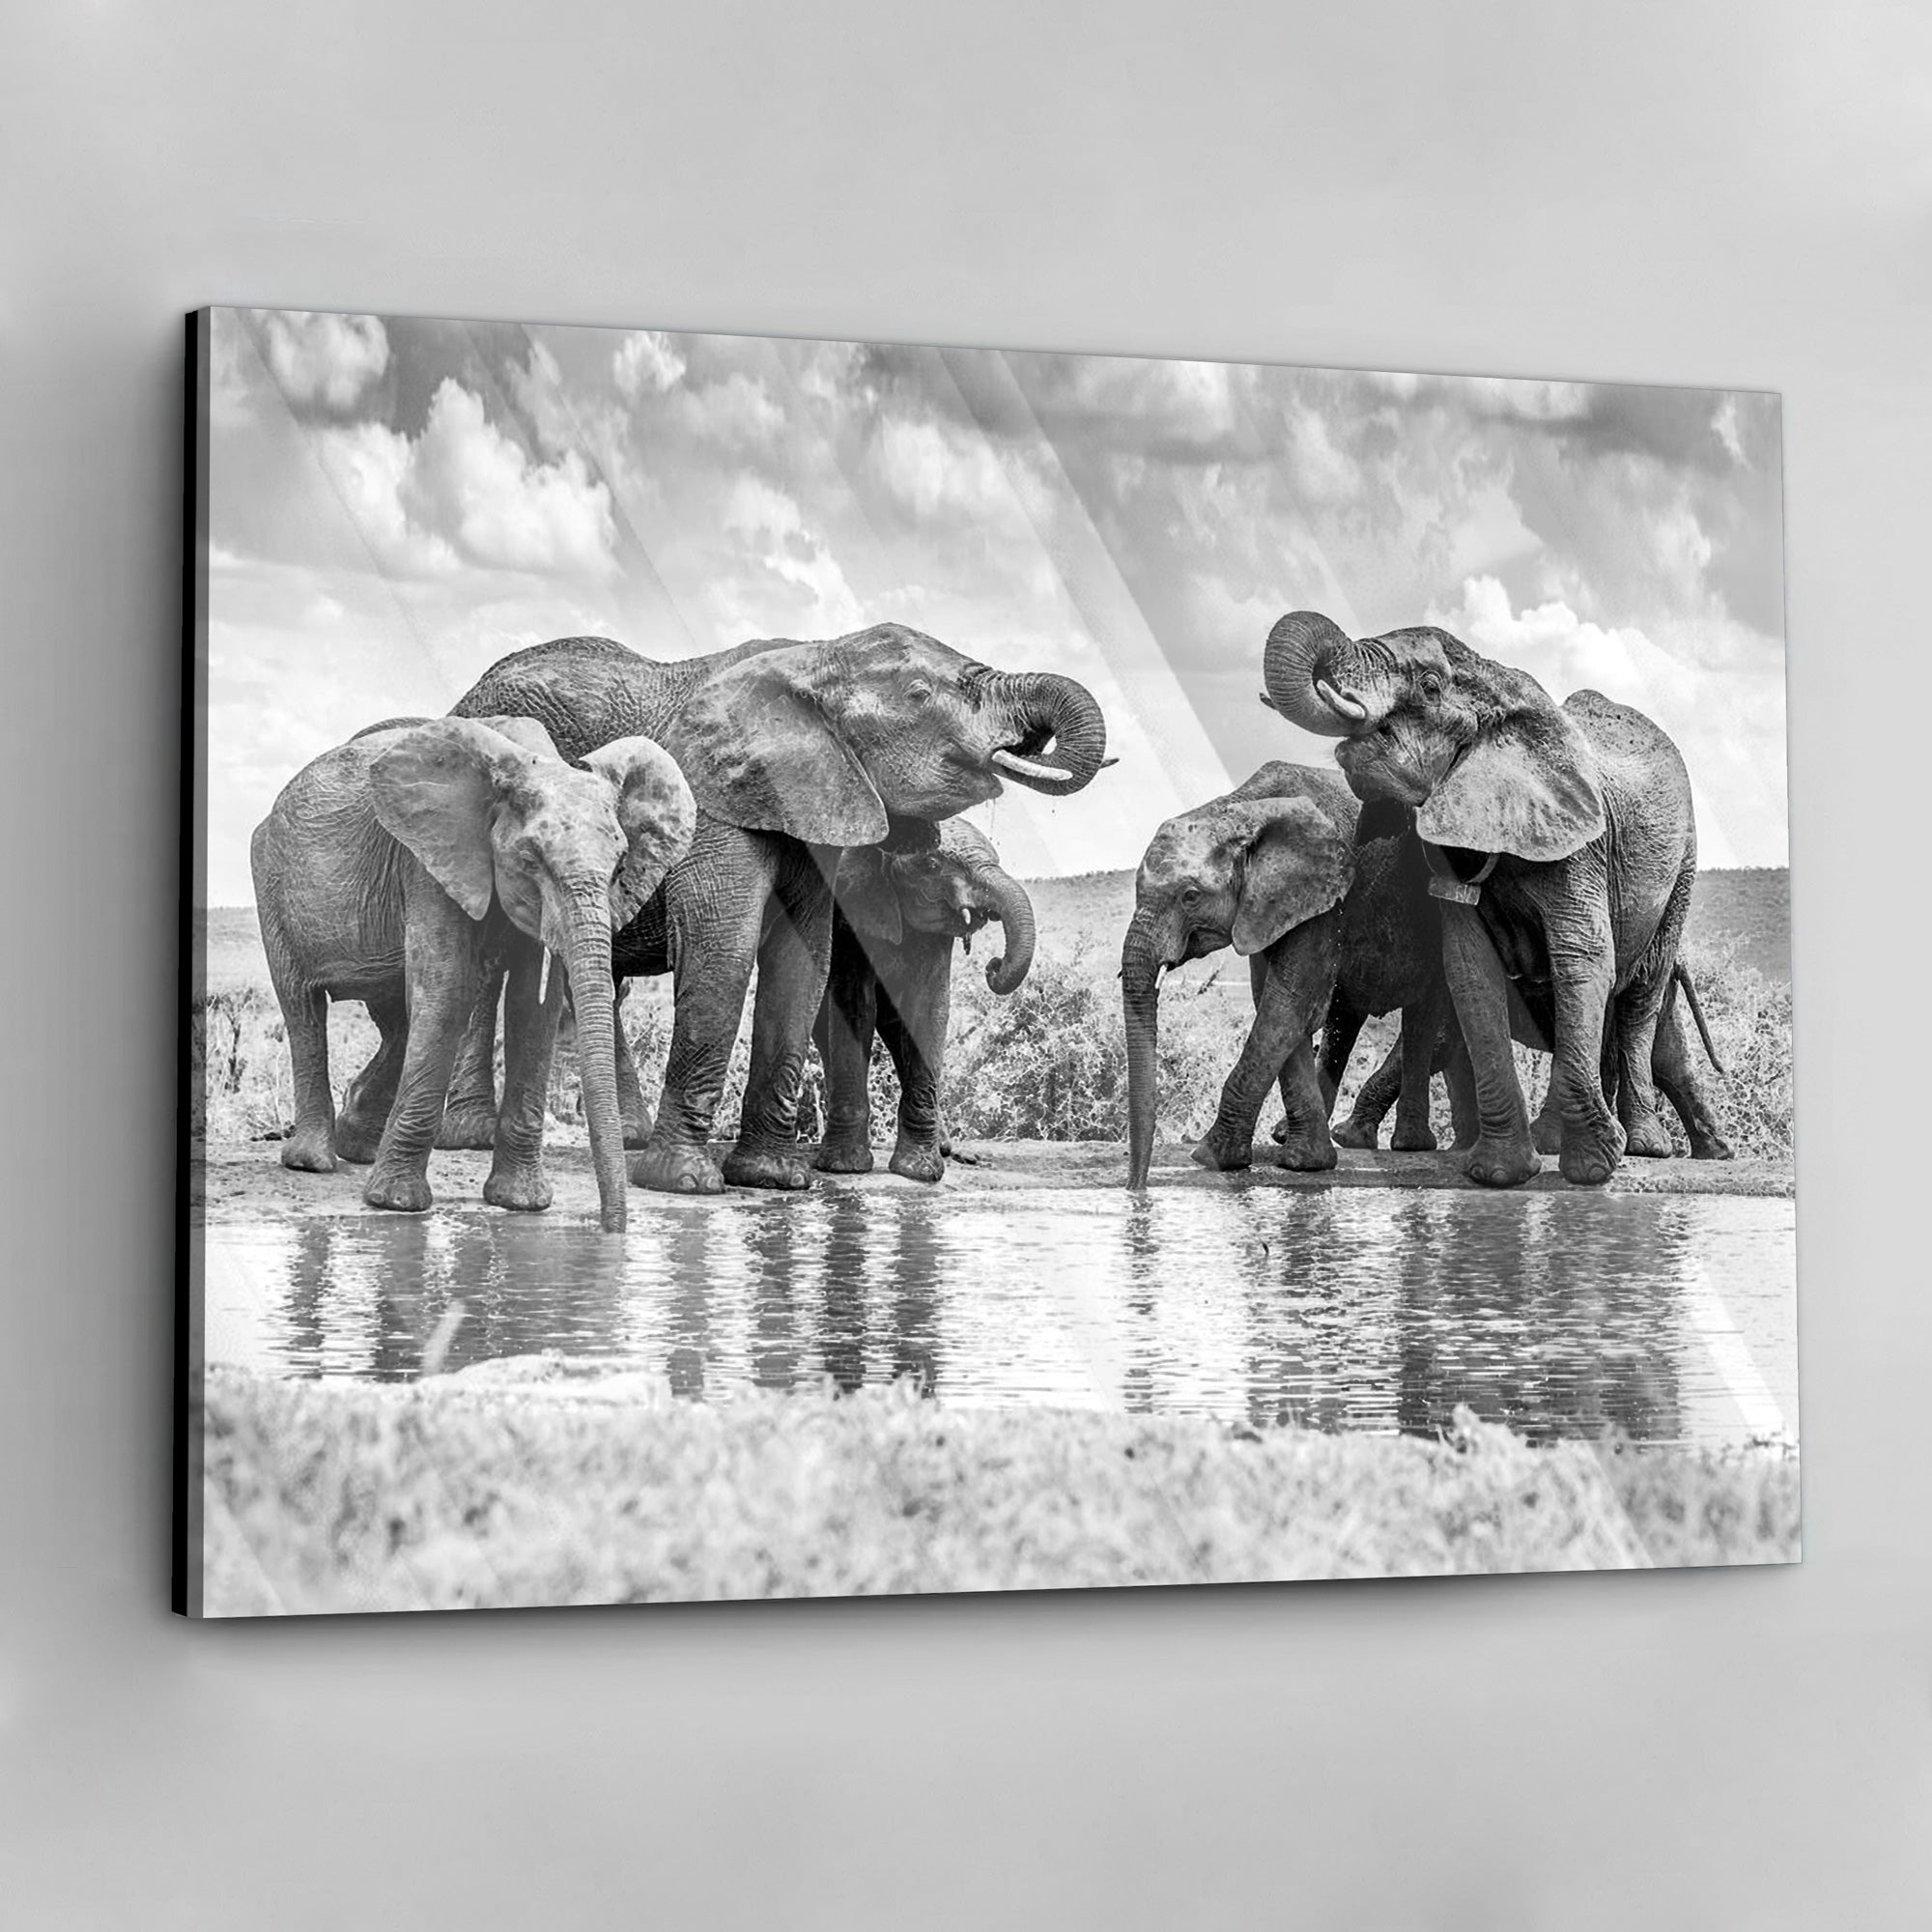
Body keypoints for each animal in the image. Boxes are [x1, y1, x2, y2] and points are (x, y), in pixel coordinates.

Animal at [250, 714, 695, 1232]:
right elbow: (449, 989)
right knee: (302, 1007)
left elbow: (532, 1008)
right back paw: (313, 1161)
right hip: (270, 881)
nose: (612, 1232)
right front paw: (395, 1204)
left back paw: (358, 1147)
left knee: (396, 1019)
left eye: (620, 866)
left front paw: (521, 1204)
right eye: (530, 860)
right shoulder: (429, 861)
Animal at [813, 817, 1036, 1181]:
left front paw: (920, 1171)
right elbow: (854, 1004)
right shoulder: (846, 913)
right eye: (931, 866)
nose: (993, 966)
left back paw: (948, 1149)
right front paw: (844, 1166)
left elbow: (930, 1006)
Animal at [1262, 609, 1704, 1187]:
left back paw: (1644, 1146)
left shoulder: (1583, 846)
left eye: (1430, 686)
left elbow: (1581, 958)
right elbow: (1470, 970)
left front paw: (1591, 1169)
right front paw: (1500, 1174)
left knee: (1640, 994)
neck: (1497, 683)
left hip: (1683, 867)